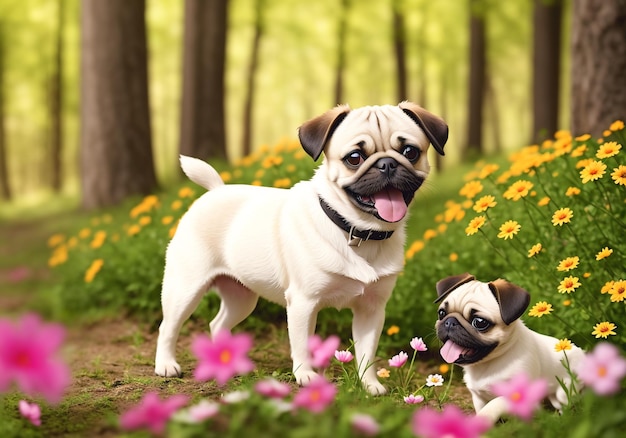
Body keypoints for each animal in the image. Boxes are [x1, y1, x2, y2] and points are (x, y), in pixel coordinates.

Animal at [156, 102, 448, 394]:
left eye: (410, 152)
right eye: (354, 158)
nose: (387, 164)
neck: (358, 231)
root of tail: (215, 190)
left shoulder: (372, 309)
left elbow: (367, 352)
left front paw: (369, 384)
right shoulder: (303, 303)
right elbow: (302, 345)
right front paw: (306, 376)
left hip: (242, 298)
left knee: (218, 324)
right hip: (185, 288)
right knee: (168, 327)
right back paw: (166, 365)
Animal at [432, 274, 584, 420]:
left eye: (480, 322)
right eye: (441, 313)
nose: (450, 322)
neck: (487, 365)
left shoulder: (518, 395)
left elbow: (495, 403)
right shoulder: (478, 398)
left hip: (565, 391)